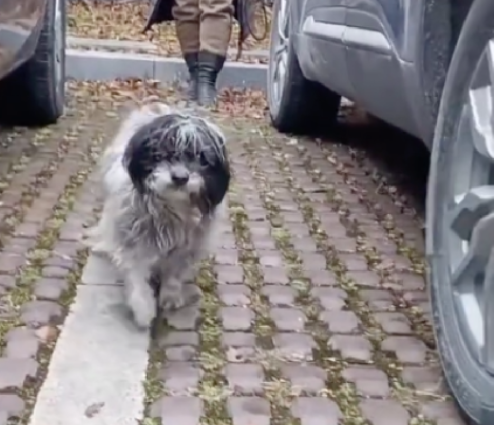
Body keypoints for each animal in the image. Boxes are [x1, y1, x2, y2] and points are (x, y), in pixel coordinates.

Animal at [86, 102, 231, 328]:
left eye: (201, 158)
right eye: (161, 154)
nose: (180, 177)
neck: (171, 205)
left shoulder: (187, 246)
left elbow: (174, 272)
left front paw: (169, 295)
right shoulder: (133, 237)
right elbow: (136, 276)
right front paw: (143, 308)